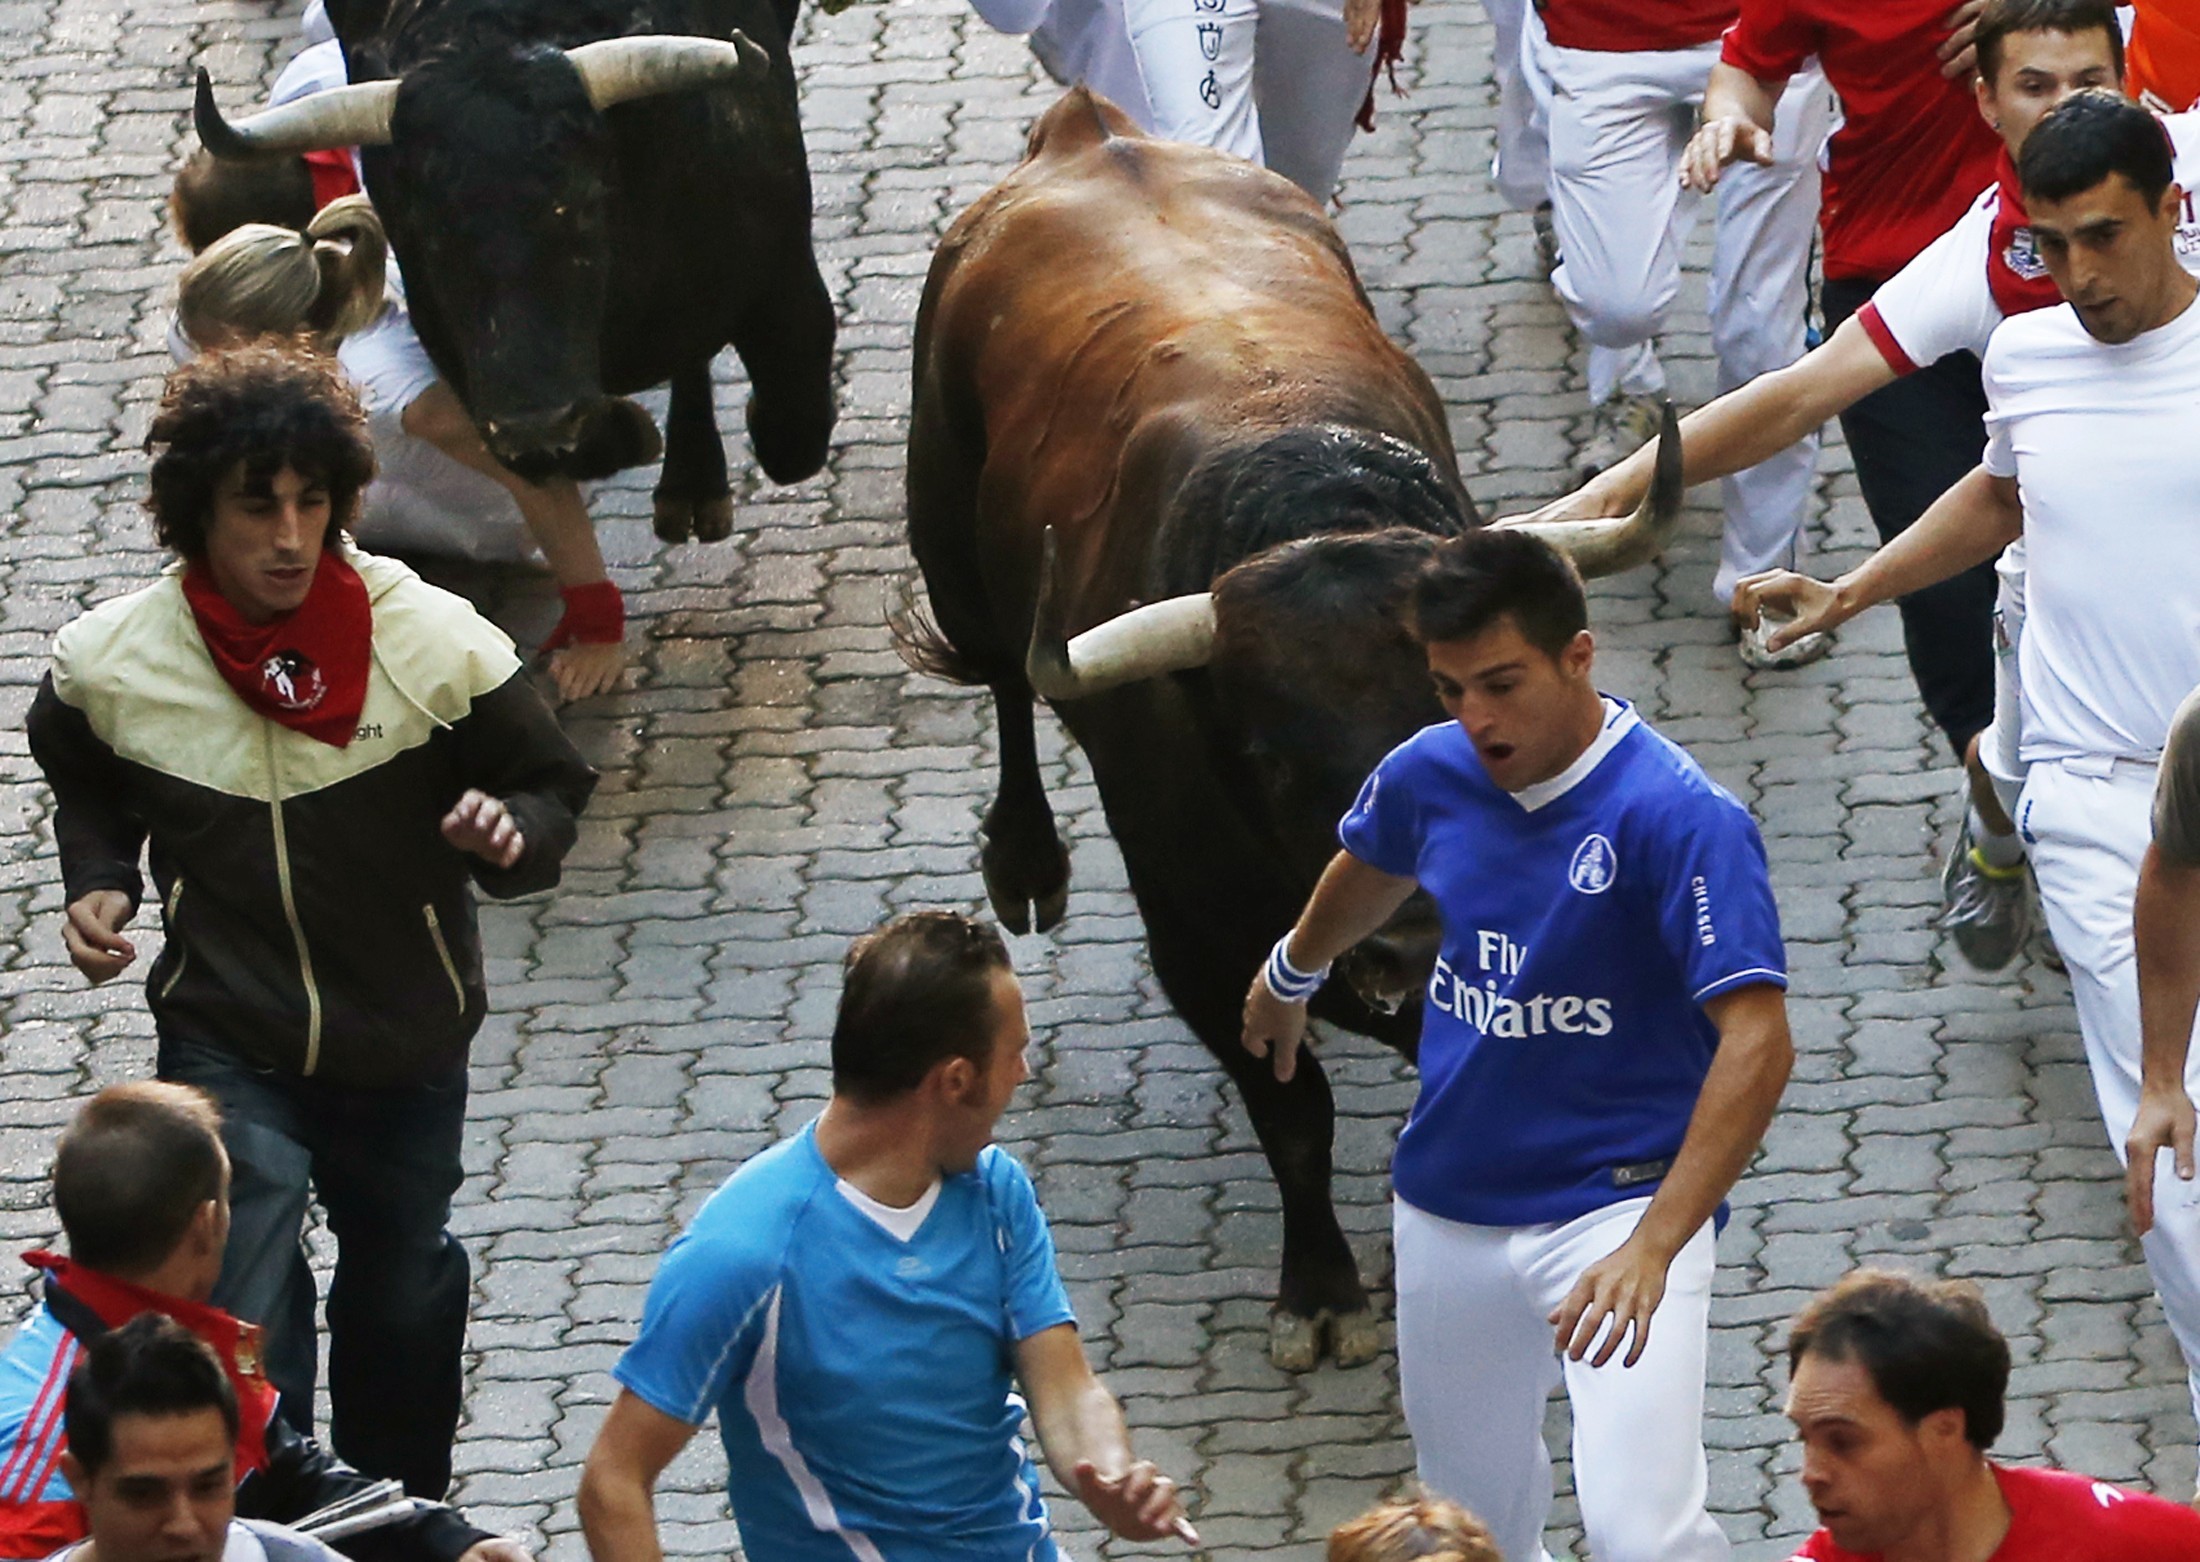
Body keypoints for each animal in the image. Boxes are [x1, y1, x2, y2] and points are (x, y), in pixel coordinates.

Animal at [193, 0, 831, 545]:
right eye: (425, 227)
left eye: (583, 203)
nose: (536, 422)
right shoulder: (459, 358)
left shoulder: (787, 281)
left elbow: (792, 434)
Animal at [893, 94, 1680, 1372]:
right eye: (1267, 753)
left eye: (1472, 721)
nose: (1407, 939)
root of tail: (1086, 133)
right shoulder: (1197, 935)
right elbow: (1292, 1111)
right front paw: (1321, 1290)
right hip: (950, 550)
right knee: (1007, 683)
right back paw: (1025, 862)